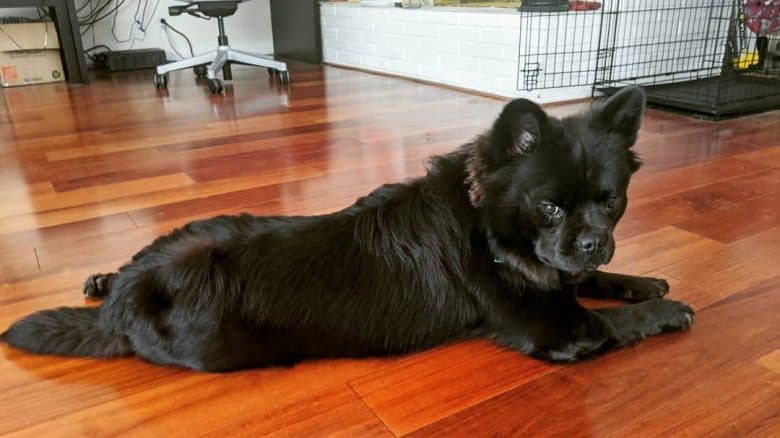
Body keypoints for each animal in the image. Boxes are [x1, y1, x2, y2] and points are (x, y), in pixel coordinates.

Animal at [1, 87, 696, 372]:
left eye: (613, 202)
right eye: (549, 207)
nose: (596, 240)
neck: (488, 225)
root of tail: (122, 305)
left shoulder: (565, 271)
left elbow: (590, 279)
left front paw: (641, 279)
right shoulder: (556, 328)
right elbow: (612, 320)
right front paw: (669, 308)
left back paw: (98, 276)